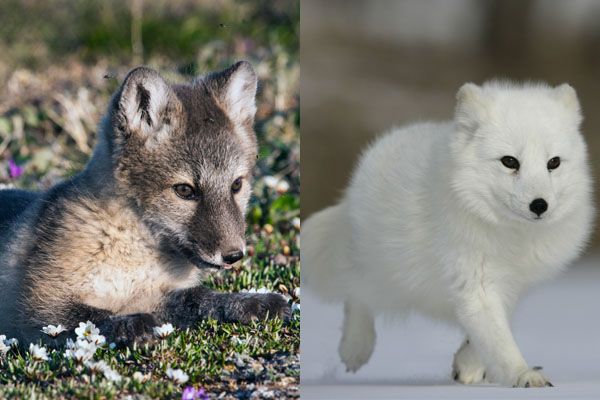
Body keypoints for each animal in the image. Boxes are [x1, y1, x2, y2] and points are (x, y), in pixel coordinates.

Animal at [0, 61, 290, 346]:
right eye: (184, 190)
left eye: (236, 185)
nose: (234, 255)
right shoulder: (37, 307)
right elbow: (92, 317)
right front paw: (133, 325)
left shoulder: (153, 294)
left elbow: (199, 298)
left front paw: (249, 302)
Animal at [304, 80, 596, 388]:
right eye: (509, 161)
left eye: (553, 163)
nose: (539, 205)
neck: (512, 237)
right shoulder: (476, 280)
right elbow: (499, 341)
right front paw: (523, 375)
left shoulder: (509, 286)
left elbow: (487, 332)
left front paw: (469, 365)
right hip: (383, 273)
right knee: (356, 294)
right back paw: (355, 348)